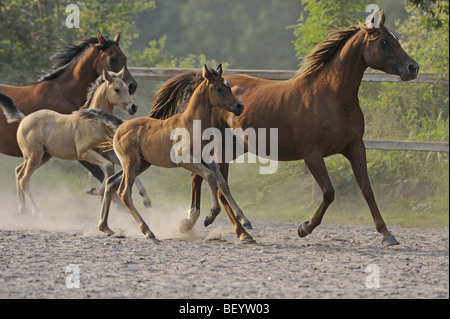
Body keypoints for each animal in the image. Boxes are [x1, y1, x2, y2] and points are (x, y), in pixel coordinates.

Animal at [0, 31, 137, 184]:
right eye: (112, 59)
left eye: (124, 57)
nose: (132, 85)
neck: (65, 93)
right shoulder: (81, 153)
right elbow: (102, 174)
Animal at [0, 69, 151, 216]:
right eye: (117, 89)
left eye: (127, 88)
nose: (133, 106)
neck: (94, 121)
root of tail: (23, 119)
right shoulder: (85, 153)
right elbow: (108, 167)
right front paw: (97, 191)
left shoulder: (107, 153)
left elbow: (124, 166)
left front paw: (146, 199)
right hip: (34, 156)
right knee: (24, 179)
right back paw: (36, 212)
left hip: (42, 156)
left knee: (18, 172)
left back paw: (23, 209)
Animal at [150, 11, 418, 246]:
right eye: (383, 41)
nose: (412, 68)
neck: (332, 98)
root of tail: (202, 80)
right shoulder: (312, 153)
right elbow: (329, 192)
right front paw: (304, 228)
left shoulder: (355, 147)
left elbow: (367, 190)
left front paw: (387, 234)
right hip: (220, 147)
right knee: (214, 182)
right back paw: (235, 230)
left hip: (231, 148)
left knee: (206, 178)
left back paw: (201, 222)